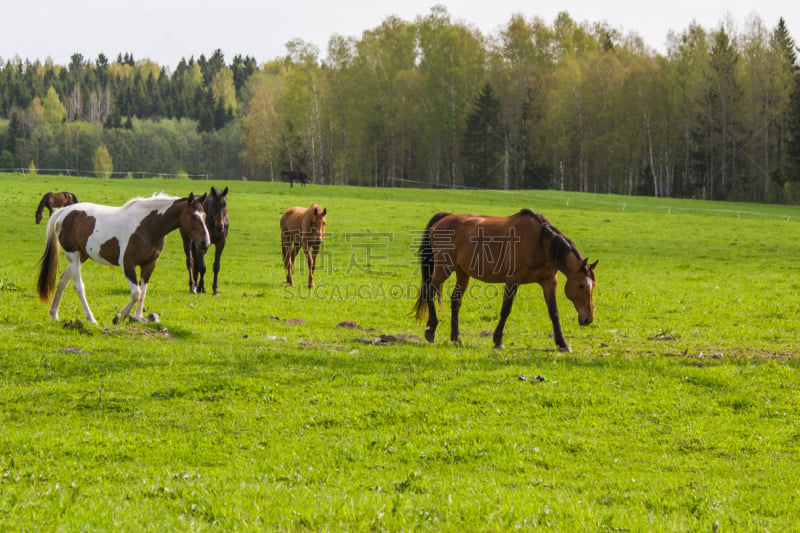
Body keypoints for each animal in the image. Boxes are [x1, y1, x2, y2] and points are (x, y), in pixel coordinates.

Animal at [35, 192, 209, 322]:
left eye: (205, 215)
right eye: (194, 216)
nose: (205, 242)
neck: (147, 226)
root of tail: (63, 212)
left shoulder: (149, 264)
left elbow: (142, 292)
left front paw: (138, 318)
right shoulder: (127, 264)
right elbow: (136, 293)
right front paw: (120, 315)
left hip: (82, 256)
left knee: (63, 280)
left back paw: (54, 314)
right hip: (73, 255)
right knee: (78, 286)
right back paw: (91, 318)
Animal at [416, 209, 596, 354]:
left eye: (593, 286)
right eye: (581, 285)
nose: (588, 319)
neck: (540, 243)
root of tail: (446, 216)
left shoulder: (549, 282)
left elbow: (554, 313)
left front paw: (563, 344)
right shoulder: (512, 281)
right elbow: (506, 310)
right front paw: (498, 341)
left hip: (462, 272)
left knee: (456, 300)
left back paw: (456, 337)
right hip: (444, 267)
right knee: (429, 291)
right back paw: (431, 329)